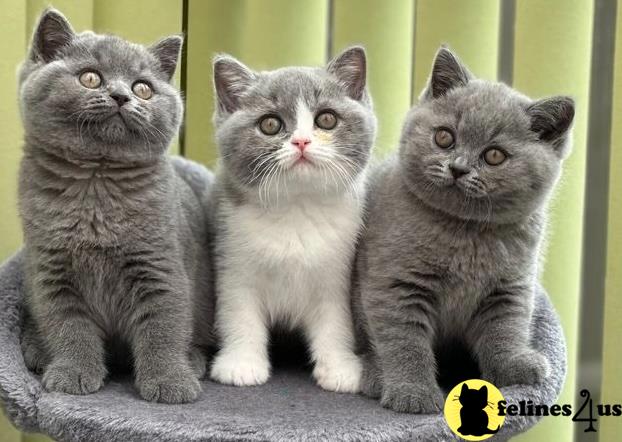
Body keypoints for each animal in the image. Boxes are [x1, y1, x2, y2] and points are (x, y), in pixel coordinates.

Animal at [18, 7, 214, 404]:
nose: (122, 96)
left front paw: (170, 381)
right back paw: (37, 349)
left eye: (143, 88)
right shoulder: (50, 271)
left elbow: (164, 325)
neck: (96, 183)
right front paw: (73, 372)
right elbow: (68, 325)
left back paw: (192, 361)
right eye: (90, 78)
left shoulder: (159, 265)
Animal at [210, 49, 378, 394]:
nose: (301, 141)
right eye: (270, 124)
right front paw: (241, 365)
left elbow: (335, 321)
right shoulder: (233, 259)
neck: (296, 209)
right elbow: (240, 314)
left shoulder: (337, 273)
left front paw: (339, 369)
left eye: (326, 119)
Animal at [354, 46, 576, 412]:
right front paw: (413, 393)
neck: (465, 231)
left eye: (495, 155)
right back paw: (374, 375)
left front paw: (515, 366)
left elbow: (506, 330)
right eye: (444, 137)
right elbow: (405, 341)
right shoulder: (396, 284)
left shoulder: (509, 289)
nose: (458, 168)